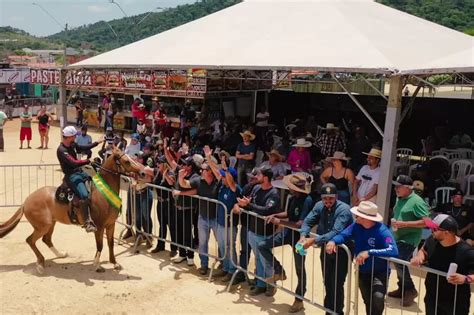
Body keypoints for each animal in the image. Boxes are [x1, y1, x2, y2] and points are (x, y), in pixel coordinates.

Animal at [0, 147, 144, 276]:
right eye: (126, 161)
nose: (143, 172)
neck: (103, 193)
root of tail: (26, 201)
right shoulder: (99, 227)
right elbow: (100, 245)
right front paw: (97, 265)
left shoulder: (110, 225)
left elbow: (110, 244)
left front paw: (114, 263)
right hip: (42, 226)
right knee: (30, 240)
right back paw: (40, 264)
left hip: (51, 224)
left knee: (46, 239)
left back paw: (60, 254)